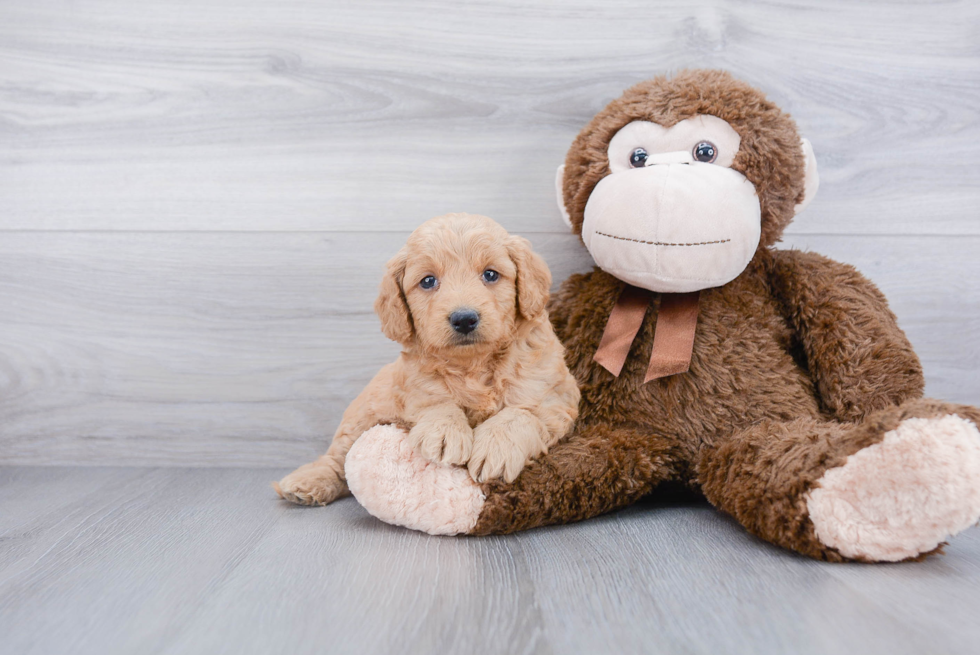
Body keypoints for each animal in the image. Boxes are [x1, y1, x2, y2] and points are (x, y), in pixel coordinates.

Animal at [276, 215, 580, 508]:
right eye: (428, 281)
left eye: (491, 274)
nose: (464, 319)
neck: (474, 364)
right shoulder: (415, 385)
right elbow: (437, 401)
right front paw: (444, 433)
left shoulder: (554, 399)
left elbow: (519, 414)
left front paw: (496, 449)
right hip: (362, 415)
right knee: (338, 458)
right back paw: (307, 483)